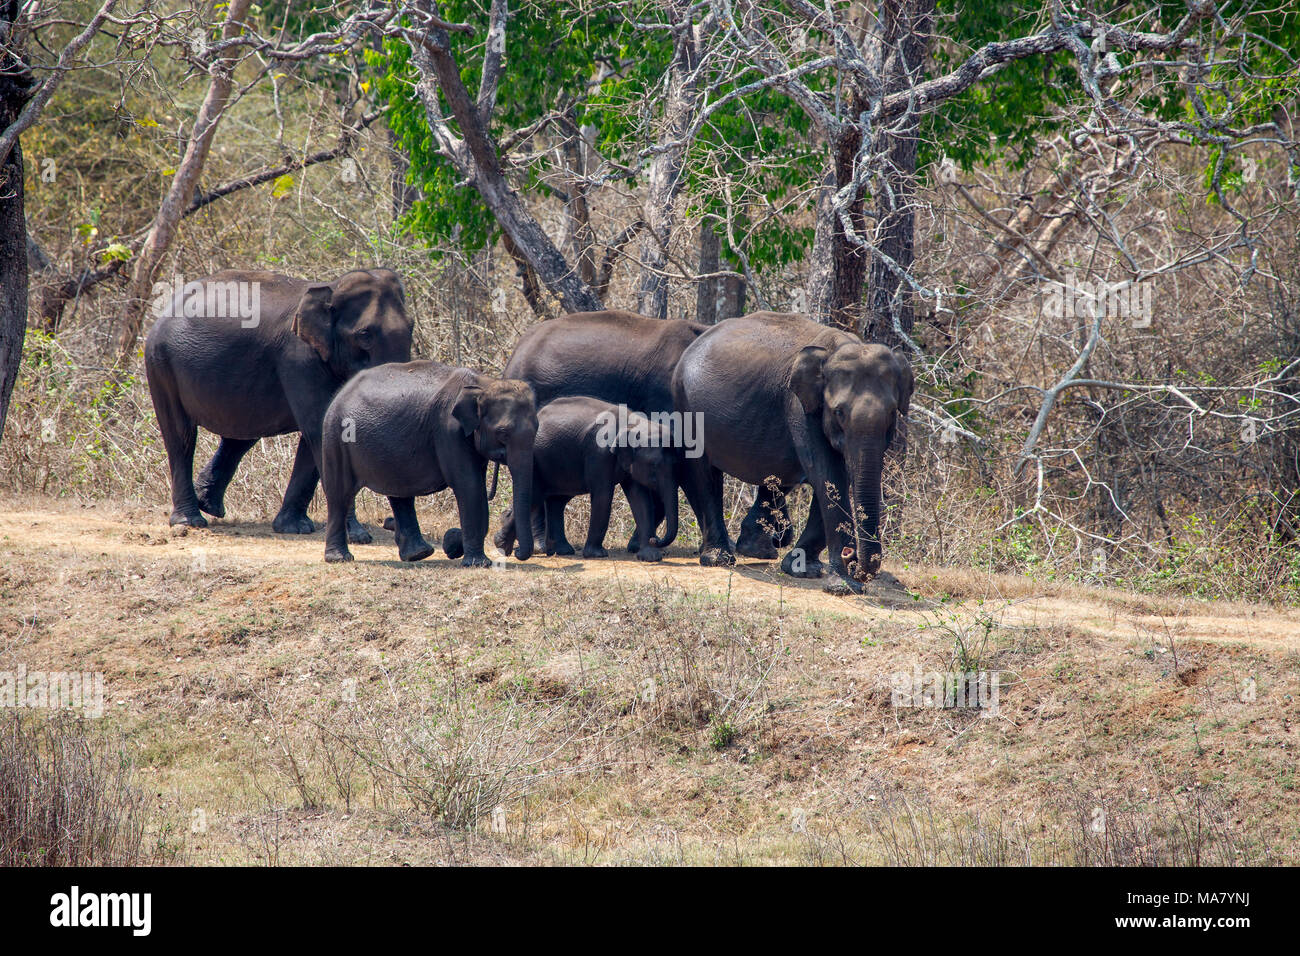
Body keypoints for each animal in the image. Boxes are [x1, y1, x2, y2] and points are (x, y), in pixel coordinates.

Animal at [144, 268, 413, 541]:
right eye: (365, 334)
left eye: (411, 327)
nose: (388, 523)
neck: (332, 289)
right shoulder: (299, 358)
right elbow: (322, 430)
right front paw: (357, 536)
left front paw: (294, 528)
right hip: (160, 362)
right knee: (181, 436)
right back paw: (190, 520)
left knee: (240, 437)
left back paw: (208, 505)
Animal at [319, 360, 538, 565]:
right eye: (503, 433)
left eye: (537, 428)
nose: (516, 552)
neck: (484, 384)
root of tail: (341, 392)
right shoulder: (448, 431)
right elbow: (469, 485)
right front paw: (478, 563)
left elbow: (476, 488)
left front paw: (456, 544)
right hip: (336, 436)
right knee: (340, 494)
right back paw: (339, 558)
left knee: (399, 492)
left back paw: (418, 554)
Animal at [491, 396, 678, 562]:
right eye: (654, 465)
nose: (656, 539)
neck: (633, 424)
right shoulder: (599, 454)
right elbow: (603, 495)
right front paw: (597, 555)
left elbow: (640, 499)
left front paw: (651, 557)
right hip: (535, 462)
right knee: (535, 496)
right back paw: (503, 544)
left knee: (556, 500)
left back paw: (560, 551)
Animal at [671, 312, 913, 592]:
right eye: (839, 412)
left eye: (892, 414)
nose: (851, 555)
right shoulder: (800, 407)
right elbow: (829, 474)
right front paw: (842, 586)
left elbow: (836, 476)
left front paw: (805, 571)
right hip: (686, 403)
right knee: (703, 471)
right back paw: (718, 558)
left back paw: (757, 550)